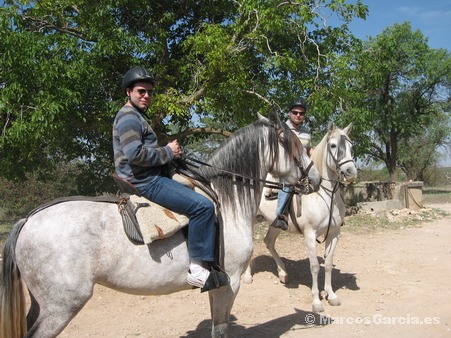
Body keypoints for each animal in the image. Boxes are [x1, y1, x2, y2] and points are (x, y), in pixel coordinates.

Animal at [1, 111, 324, 338]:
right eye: (295, 145)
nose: (317, 178)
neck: (226, 201)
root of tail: (27, 220)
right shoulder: (229, 282)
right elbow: (220, 328)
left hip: (43, 305)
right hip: (60, 307)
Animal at [245, 122, 358, 312]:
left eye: (351, 146)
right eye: (333, 145)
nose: (351, 172)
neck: (324, 195)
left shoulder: (334, 234)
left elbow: (328, 263)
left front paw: (331, 295)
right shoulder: (310, 235)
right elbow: (314, 267)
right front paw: (316, 302)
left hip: (275, 223)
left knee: (269, 241)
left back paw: (283, 273)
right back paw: (247, 277)